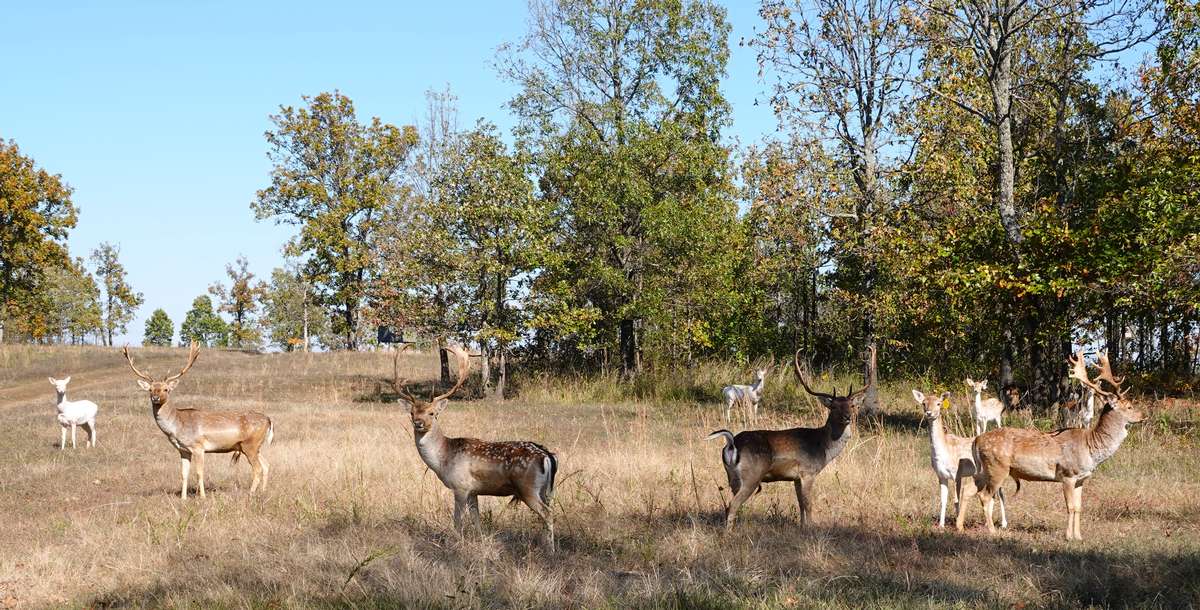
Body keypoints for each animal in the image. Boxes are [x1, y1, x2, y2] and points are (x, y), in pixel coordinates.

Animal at [121, 345, 272, 497]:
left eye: (166, 389)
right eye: (150, 390)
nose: (155, 398)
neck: (177, 427)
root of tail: (269, 420)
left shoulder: (198, 447)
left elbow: (199, 473)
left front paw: (203, 496)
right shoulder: (183, 450)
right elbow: (184, 474)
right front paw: (183, 498)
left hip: (250, 445)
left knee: (258, 468)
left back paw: (251, 494)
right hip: (255, 447)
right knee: (266, 465)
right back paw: (263, 492)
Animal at [396, 343, 559, 547]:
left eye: (432, 413)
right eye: (411, 413)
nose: (418, 423)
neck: (443, 458)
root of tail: (547, 456)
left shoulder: (460, 486)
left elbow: (457, 521)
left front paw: (456, 543)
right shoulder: (474, 491)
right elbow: (477, 520)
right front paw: (480, 542)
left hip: (528, 487)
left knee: (548, 514)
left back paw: (550, 549)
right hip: (547, 490)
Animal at [700, 348, 873, 528]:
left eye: (851, 405)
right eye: (833, 407)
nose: (847, 417)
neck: (823, 447)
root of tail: (732, 443)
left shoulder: (795, 478)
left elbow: (800, 504)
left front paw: (802, 526)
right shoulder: (808, 472)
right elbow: (808, 504)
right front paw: (811, 528)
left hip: (732, 477)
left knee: (728, 504)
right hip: (752, 475)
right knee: (733, 505)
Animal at [912, 391, 1008, 528]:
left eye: (938, 403)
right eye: (924, 403)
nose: (929, 413)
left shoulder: (957, 473)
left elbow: (956, 500)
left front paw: (957, 523)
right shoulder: (940, 475)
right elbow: (943, 500)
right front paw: (941, 525)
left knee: (1001, 493)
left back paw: (1004, 524)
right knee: (993, 493)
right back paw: (987, 523)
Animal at [955, 350, 1142, 540]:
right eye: (1129, 406)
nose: (1142, 416)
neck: (1090, 447)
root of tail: (977, 440)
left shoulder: (1081, 479)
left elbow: (1079, 508)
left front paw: (1079, 536)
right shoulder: (1068, 474)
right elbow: (1070, 507)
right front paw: (1069, 536)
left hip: (983, 469)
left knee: (968, 489)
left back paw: (959, 526)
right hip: (997, 467)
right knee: (984, 496)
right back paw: (992, 530)